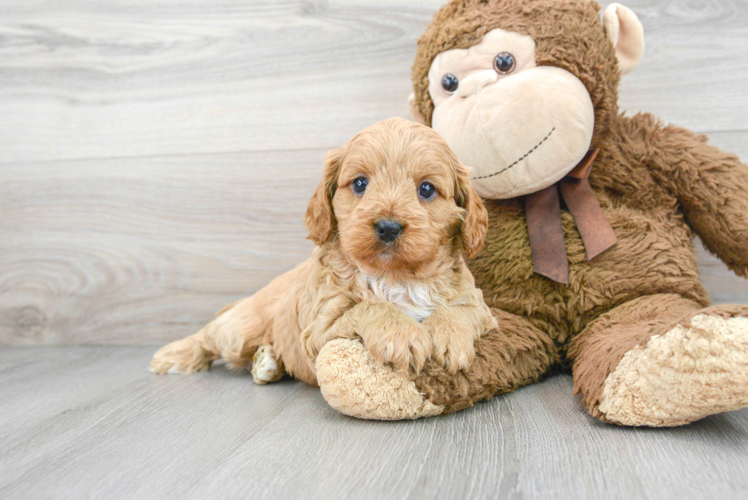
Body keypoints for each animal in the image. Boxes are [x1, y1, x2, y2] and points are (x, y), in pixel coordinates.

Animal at [150, 117, 496, 382]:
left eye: (426, 189)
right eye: (360, 183)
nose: (388, 226)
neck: (394, 275)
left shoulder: (480, 306)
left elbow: (459, 311)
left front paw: (449, 337)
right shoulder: (319, 329)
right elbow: (368, 307)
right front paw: (402, 335)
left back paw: (267, 361)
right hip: (240, 330)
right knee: (209, 335)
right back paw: (173, 354)